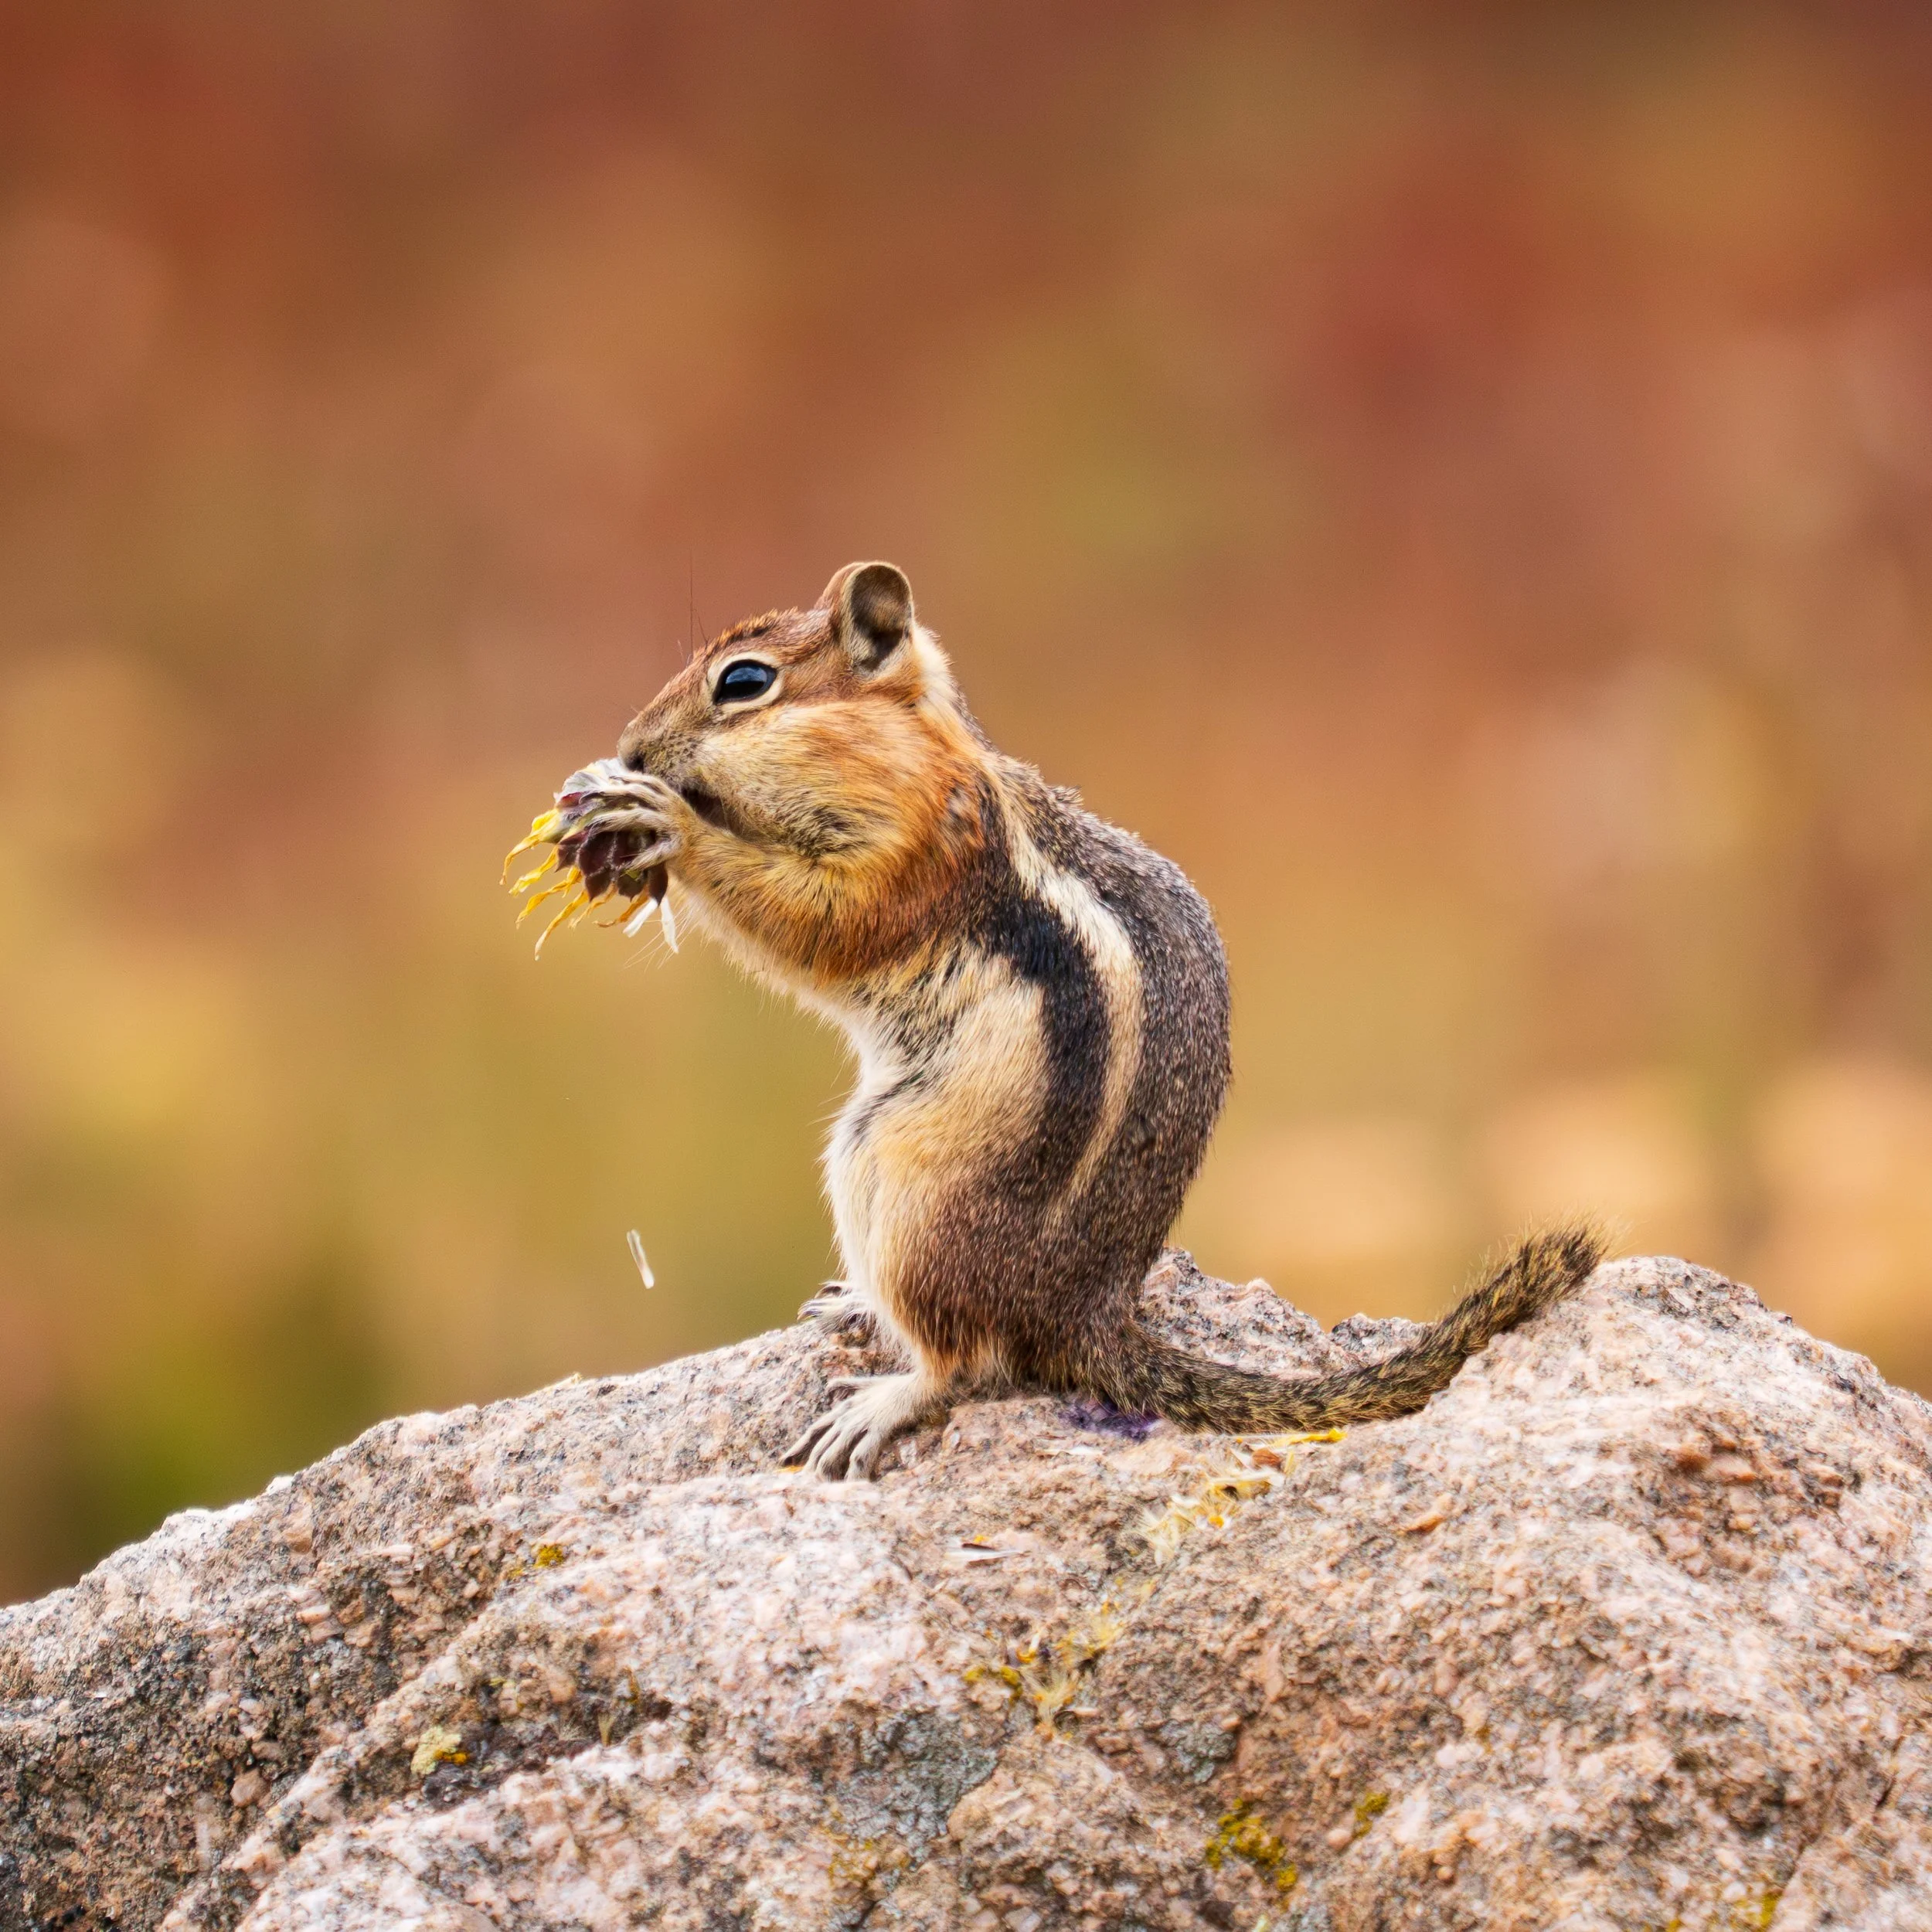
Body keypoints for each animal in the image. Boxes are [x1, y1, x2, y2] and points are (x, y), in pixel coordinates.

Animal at [572, 561, 1604, 1478]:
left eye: (744, 683)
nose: (630, 747)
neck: (916, 759)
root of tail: (1085, 1316)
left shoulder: (910, 863)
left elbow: (815, 923)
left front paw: (665, 819)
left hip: (894, 1172)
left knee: (969, 1359)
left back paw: (885, 1398)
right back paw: (854, 1308)